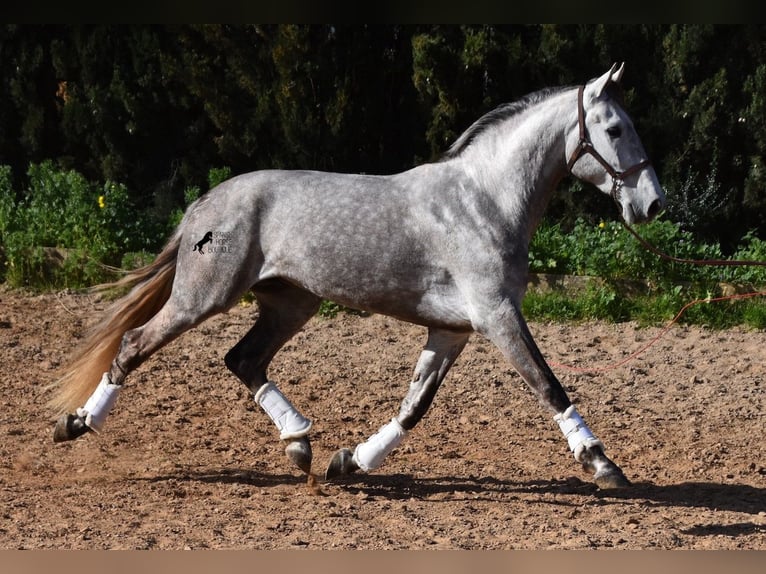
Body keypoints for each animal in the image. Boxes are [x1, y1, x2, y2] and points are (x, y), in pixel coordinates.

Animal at [52, 65, 664, 492]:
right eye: (614, 128)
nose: (653, 203)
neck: (483, 201)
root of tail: (205, 203)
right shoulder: (496, 316)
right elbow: (548, 383)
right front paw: (602, 463)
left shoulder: (454, 330)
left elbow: (415, 405)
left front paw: (351, 462)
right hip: (204, 297)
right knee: (134, 344)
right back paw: (76, 424)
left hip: (290, 303)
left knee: (243, 359)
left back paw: (299, 444)